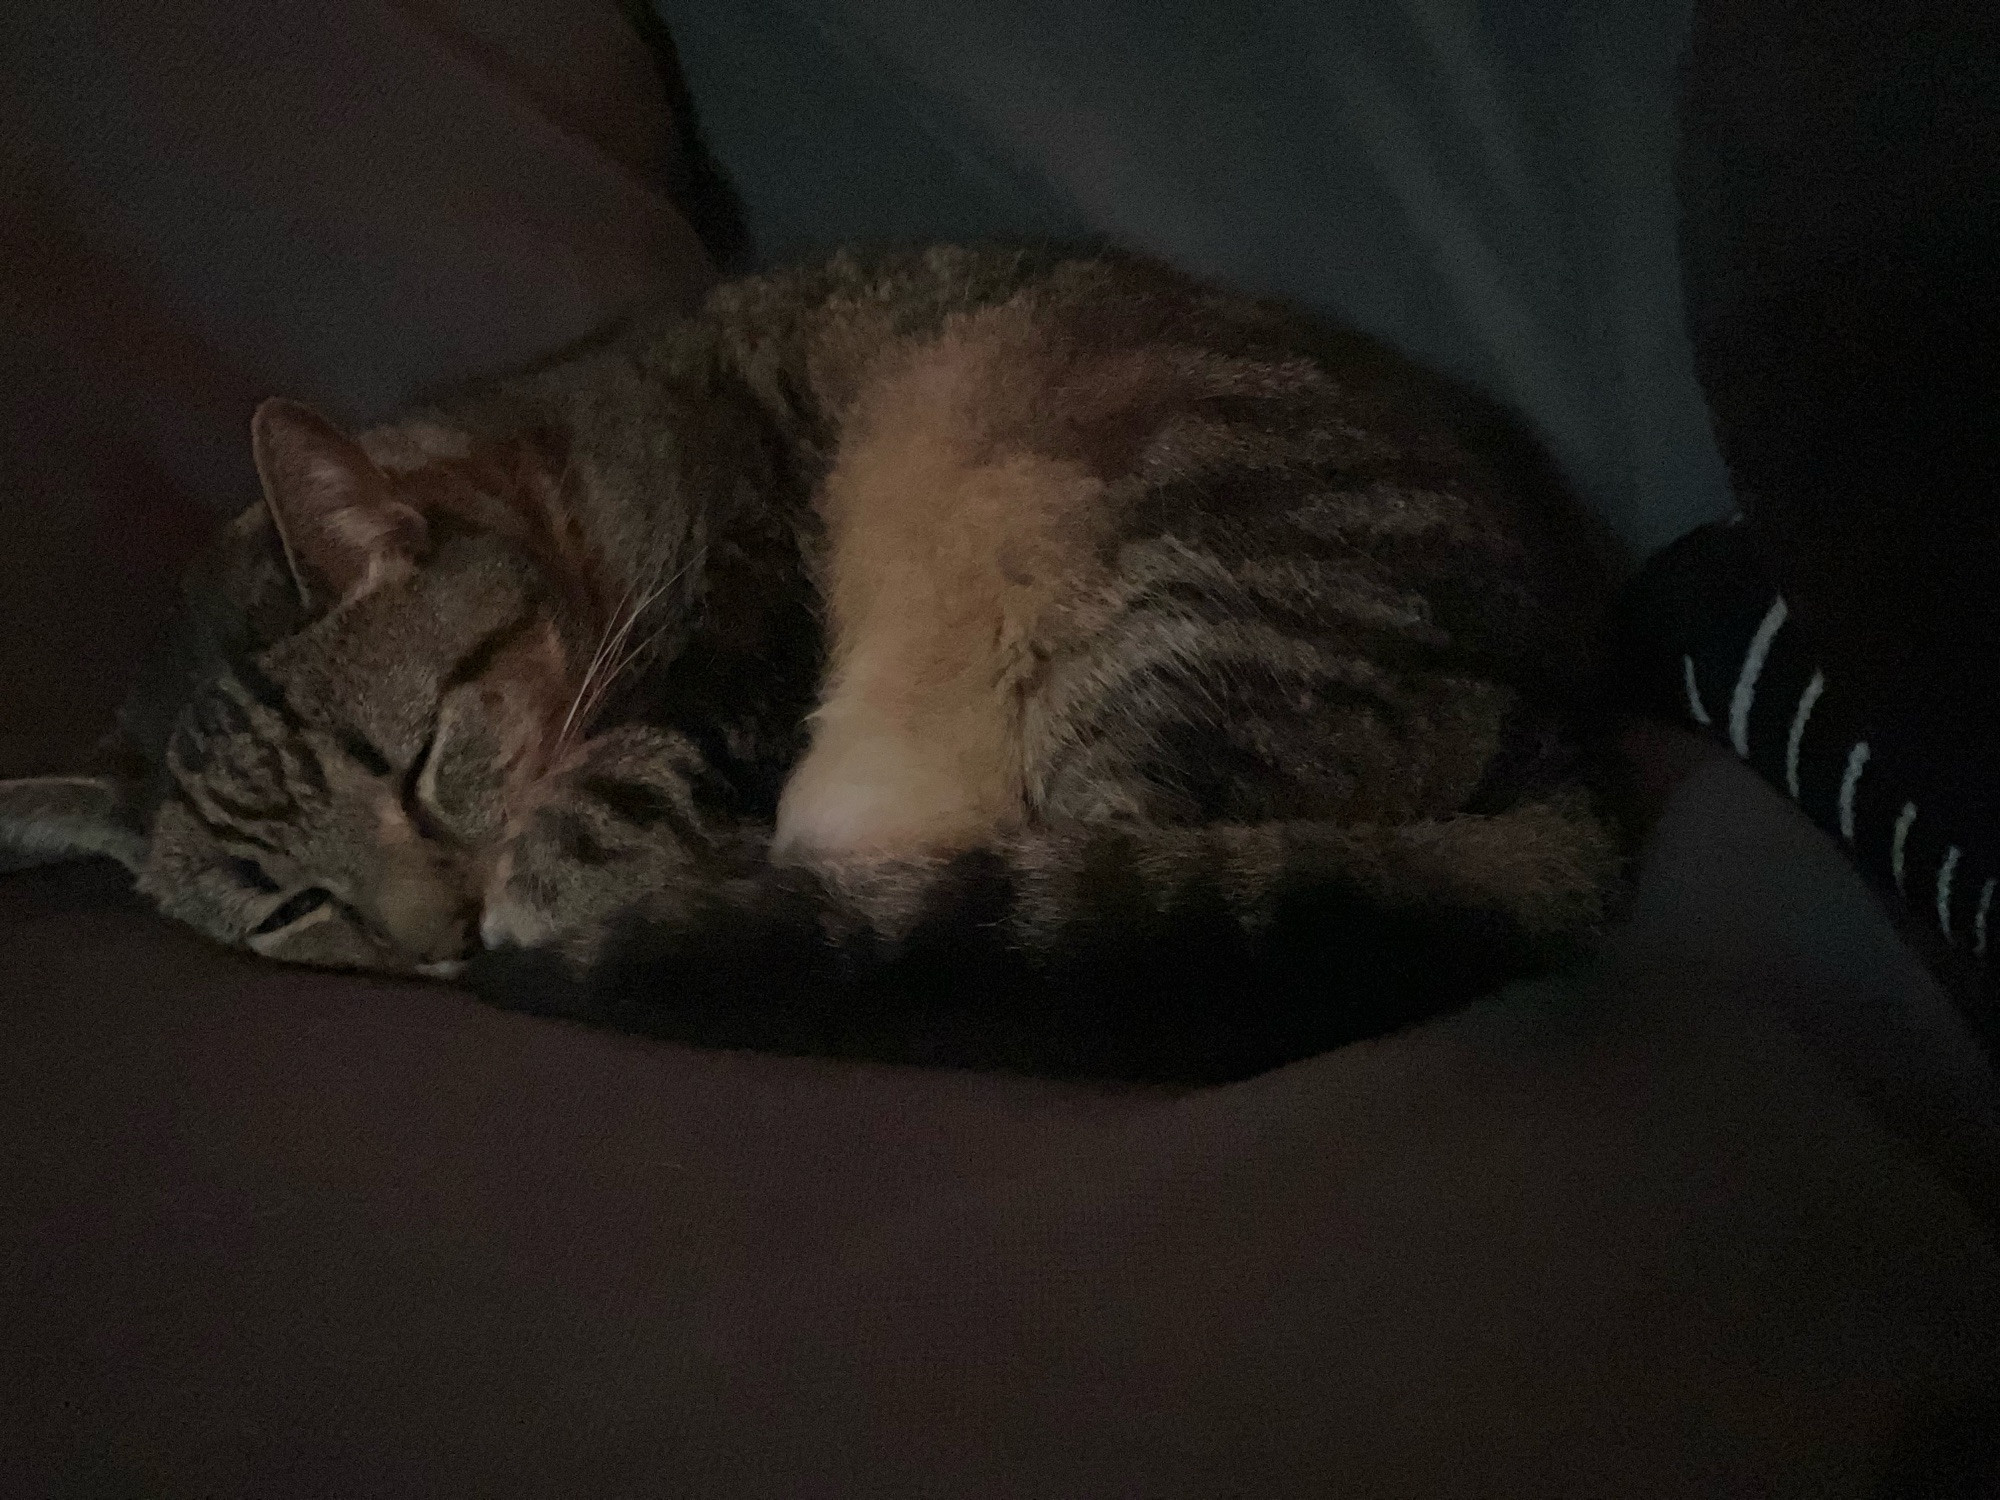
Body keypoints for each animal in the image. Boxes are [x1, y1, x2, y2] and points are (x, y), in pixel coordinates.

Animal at [0, 244, 1624, 1080]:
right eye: (289, 908)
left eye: (420, 763)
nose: (439, 935)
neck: (563, 478)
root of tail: (1567, 737)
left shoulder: (747, 608)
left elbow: (643, 762)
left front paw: (552, 874)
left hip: (1168, 613)